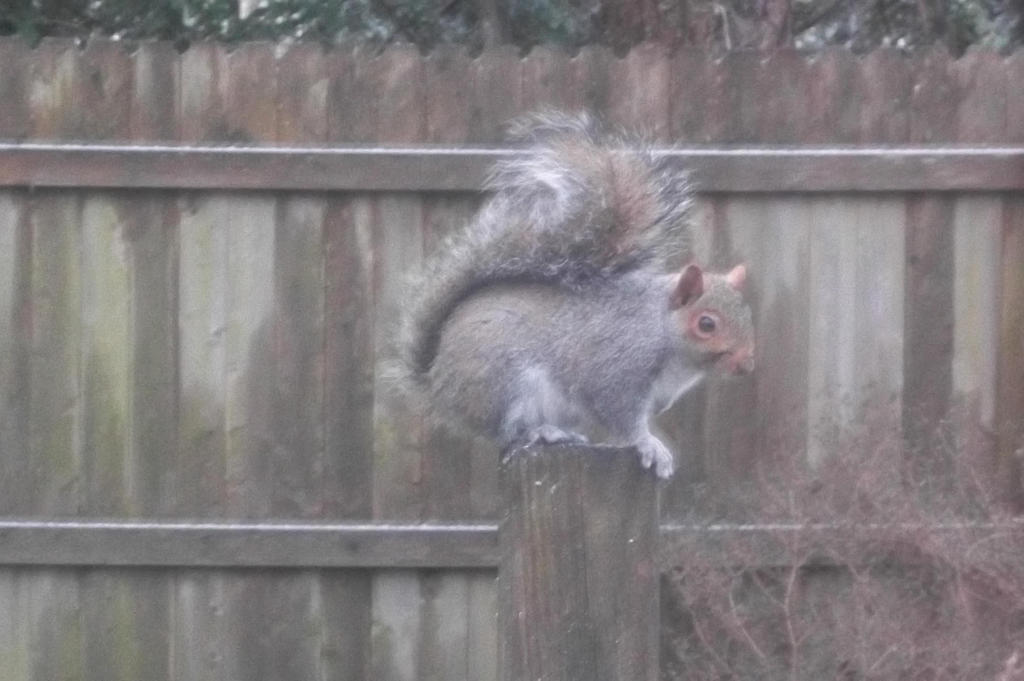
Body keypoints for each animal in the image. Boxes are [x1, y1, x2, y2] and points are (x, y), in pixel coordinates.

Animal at [395, 111, 757, 477]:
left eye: (747, 314)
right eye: (707, 324)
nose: (746, 363)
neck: (661, 331)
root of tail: (436, 379)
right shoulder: (616, 368)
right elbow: (622, 417)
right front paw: (650, 445)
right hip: (503, 384)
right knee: (507, 432)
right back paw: (544, 432)